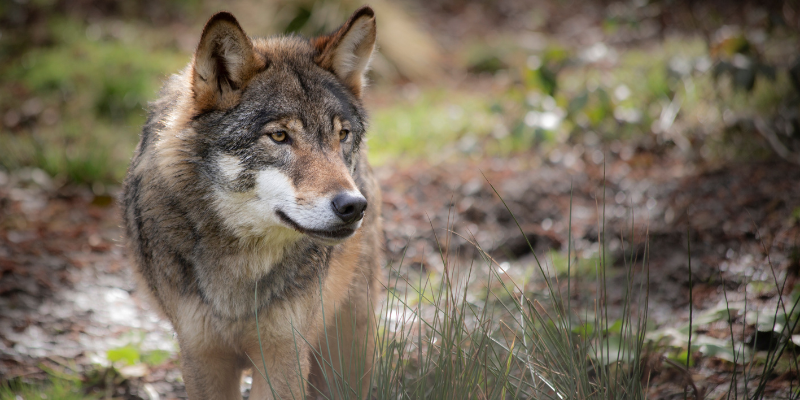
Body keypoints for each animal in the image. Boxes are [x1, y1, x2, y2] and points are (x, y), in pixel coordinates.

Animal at [121, 7, 381, 400]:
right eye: (279, 136)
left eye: (342, 135)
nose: (353, 206)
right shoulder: (201, 356)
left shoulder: (284, 354)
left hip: (348, 346)